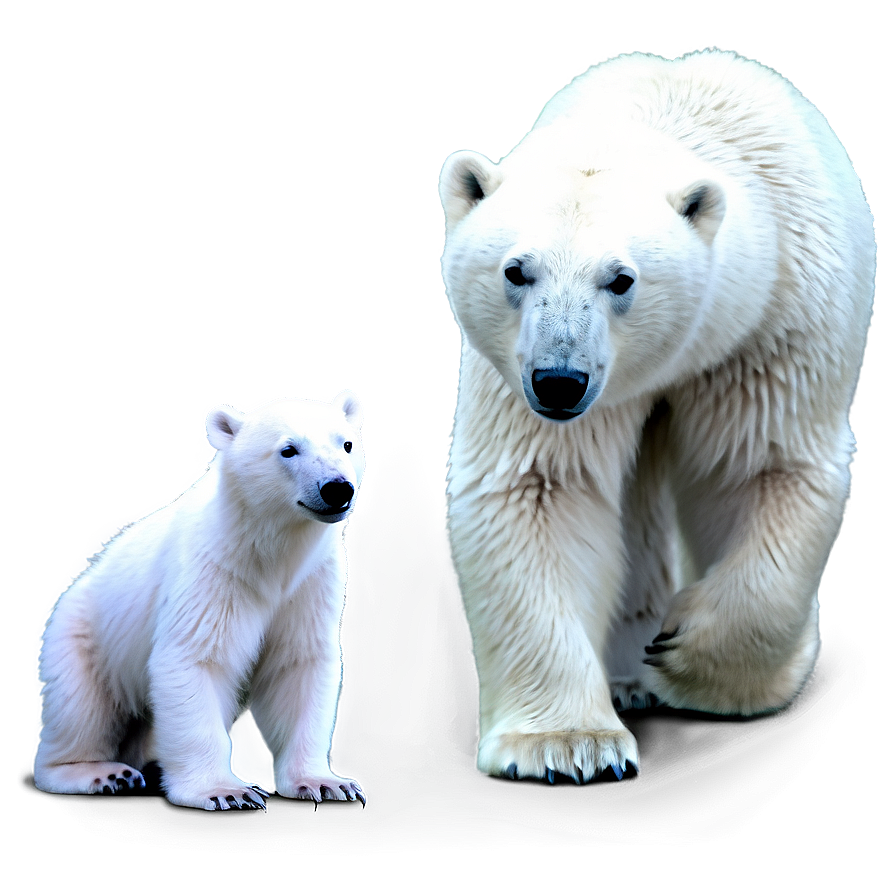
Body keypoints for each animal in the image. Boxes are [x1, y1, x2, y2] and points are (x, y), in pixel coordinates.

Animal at [34, 391, 367, 810]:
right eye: (288, 449)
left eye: (346, 443)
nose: (337, 488)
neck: (269, 549)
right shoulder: (214, 570)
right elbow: (196, 658)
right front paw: (227, 792)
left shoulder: (311, 582)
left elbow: (299, 664)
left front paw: (326, 784)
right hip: (85, 638)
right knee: (82, 707)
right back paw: (101, 772)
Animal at [438, 49, 875, 782]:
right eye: (516, 271)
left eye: (621, 279)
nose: (559, 383)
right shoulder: (518, 378)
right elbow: (543, 488)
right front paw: (567, 745)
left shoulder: (770, 326)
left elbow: (758, 468)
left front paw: (687, 648)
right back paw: (626, 671)